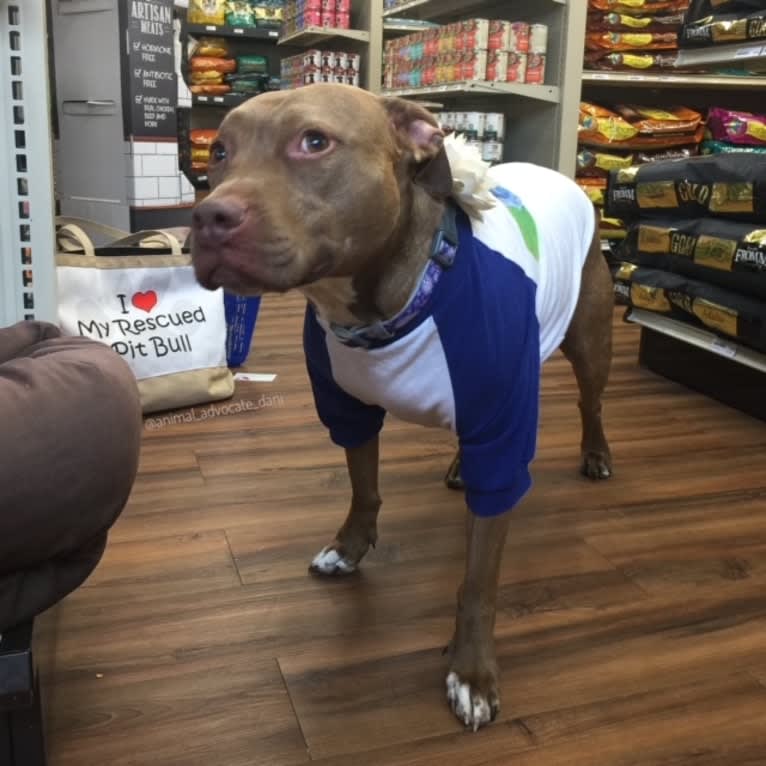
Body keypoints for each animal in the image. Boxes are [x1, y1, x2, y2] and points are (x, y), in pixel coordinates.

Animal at [194, 82, 616, 732]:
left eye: (313, 142)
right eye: (219, 151)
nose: (209, 216)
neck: (389, 303)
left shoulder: (501, 438)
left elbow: (478, 582)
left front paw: (472, 673)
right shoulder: (348, 410)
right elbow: (364, 488)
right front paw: (349, 547)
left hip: (589, 338)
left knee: (591, 401)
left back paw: (595, 453)